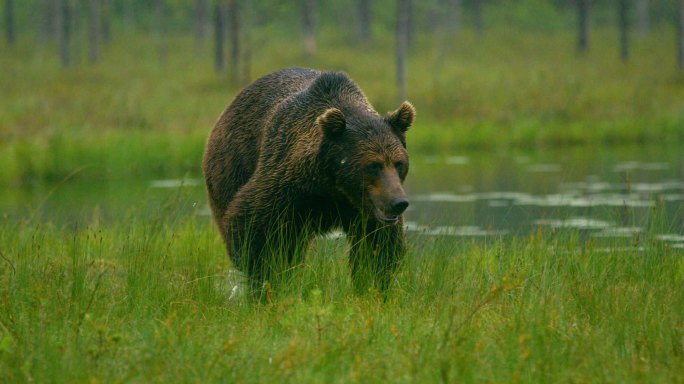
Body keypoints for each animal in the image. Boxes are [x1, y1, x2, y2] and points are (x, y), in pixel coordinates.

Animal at [202, 67, 416, 294]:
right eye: (373, 165)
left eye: (398, 163)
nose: (398, 202)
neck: (333, 186)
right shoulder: (287, 186)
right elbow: (257, 229)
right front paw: (271, 280)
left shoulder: (363, 209)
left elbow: (376, 246)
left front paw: (371, 282)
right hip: (231, 167)